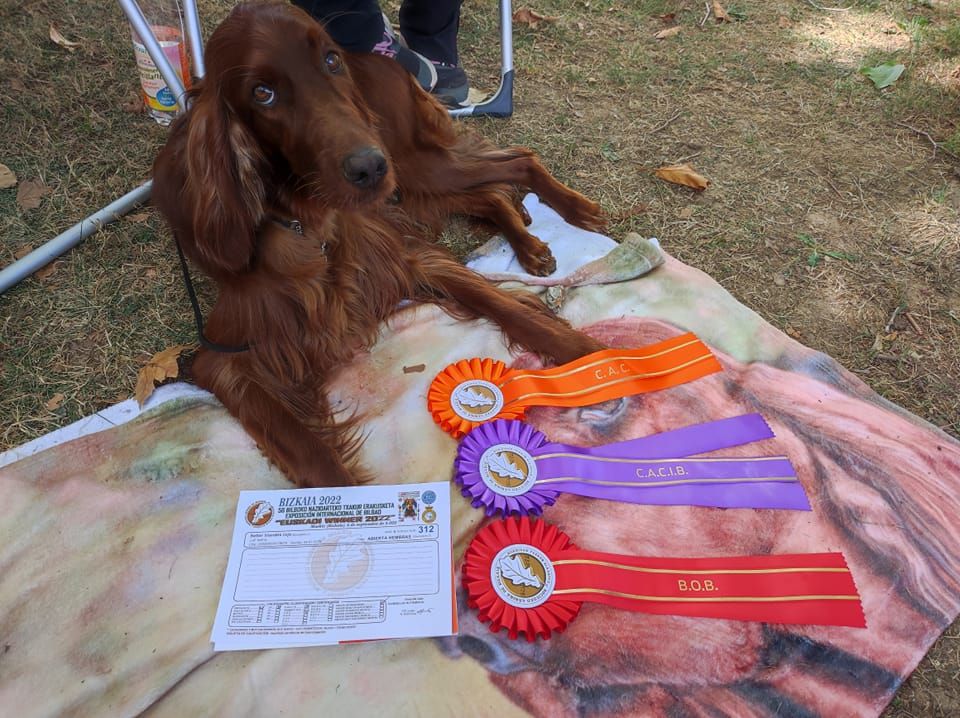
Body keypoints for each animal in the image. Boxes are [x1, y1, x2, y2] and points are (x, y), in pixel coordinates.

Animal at [155, 2, 608, 486]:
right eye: (262, 93)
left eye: (330, 60)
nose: (369, 167)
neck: (306, 225)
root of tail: (385, 61)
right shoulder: (226, 354)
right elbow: (313, 456)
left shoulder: (405, 257)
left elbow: (511, 310)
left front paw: (599, 359)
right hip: (410, 183)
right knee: (490, 192)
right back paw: (529, 242)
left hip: (412, 167)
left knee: (520, 160)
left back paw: (572, 212)